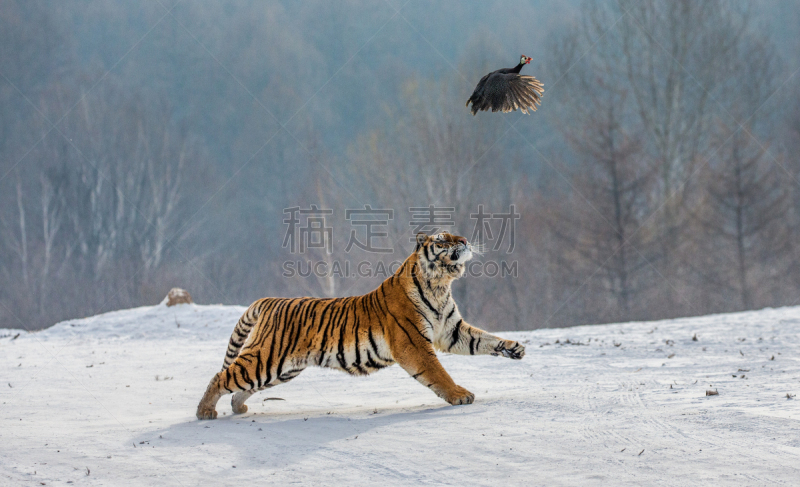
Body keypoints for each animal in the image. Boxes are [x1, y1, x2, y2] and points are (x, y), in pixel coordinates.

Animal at [196, 233, 524, 420]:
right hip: (267, 360)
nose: (465, 241)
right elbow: (437, 372)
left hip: (283, 369)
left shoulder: (451, 331)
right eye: (442, 240)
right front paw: (459, 395)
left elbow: (484, 339)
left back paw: (237, 408)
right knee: (221, 376)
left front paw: (514, 348)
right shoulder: (414, 344)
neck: (441, 283)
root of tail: (270, 300)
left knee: (239, 387)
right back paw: (205, 411)